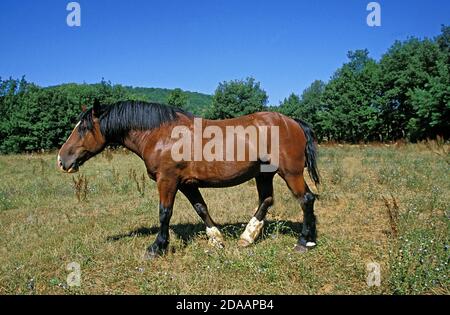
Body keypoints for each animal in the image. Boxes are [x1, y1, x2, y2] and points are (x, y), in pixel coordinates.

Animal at [57, 100, 320, 260]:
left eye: (83, 128)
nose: (62, 159)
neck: (160, 134)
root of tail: (293, 122)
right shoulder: (187, 184)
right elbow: (201, 208)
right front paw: (216, 239)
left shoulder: (167, 180)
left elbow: (164, 213)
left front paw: (157, 247)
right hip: (263, 174)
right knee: (267, 200)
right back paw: (247, 238)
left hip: (291, 173)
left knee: (306, 199)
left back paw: (303, 241)